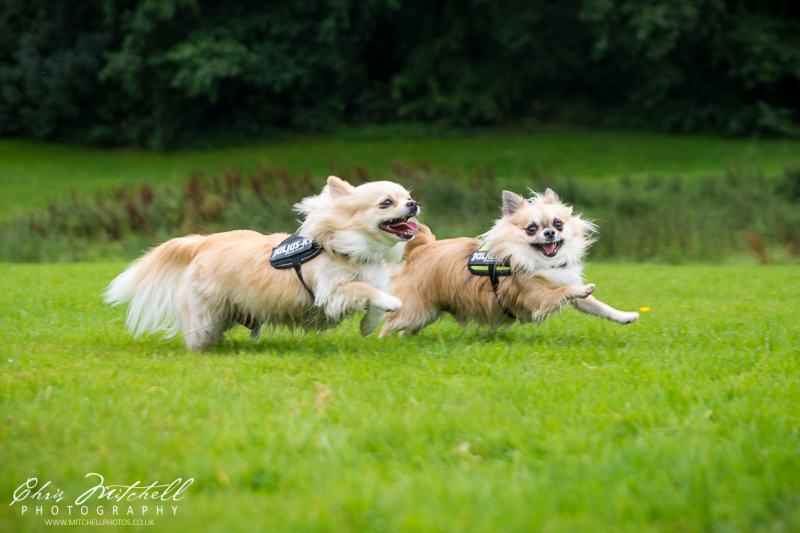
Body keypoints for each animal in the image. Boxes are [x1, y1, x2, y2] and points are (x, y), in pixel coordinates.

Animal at [105, 176, 418, 350]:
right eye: (386, 203)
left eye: (408, 196)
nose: (414, 204)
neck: (343, 244)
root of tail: (202, 242)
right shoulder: (331, 294)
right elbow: (367, 291)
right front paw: (391, 303)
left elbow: (374, 302)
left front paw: (367, 327)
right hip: (205, 315)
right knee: (198, 335)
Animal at [380, 189, 636, 334]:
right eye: (531, 229)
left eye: (558, 224)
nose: (550, 233)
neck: (544, 264)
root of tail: (420, 248)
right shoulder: (537, 299)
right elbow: (563, 291)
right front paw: (582, 289)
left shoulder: (572, 295)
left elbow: (598, 306)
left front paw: (625, 316)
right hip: (415, 311)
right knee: (389, 325)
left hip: (426, 313)